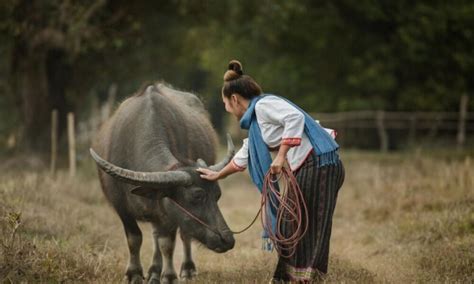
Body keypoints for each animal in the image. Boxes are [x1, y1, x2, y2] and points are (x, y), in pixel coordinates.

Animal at [90, 84, 236, 284]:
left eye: (217, 195)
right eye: (196, 196)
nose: (227, 239)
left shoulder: (169, 213)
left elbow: (167, 244)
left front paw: (169, 276)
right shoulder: (122, 208)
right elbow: (134, 239)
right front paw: (134, 274)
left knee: (182, 235)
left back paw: (184, 269)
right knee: (155, 235)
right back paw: (153, 272)